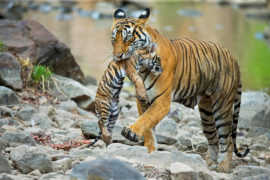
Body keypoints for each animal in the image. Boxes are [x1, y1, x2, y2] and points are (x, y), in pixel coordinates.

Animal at [111, 8, 249, 172]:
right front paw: (151, 152)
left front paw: (131, 132)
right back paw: (209, 163)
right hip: (207, 113)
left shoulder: (162, 102)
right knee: (214, 139)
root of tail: (234, 59)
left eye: (129, 38)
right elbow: (149, 128)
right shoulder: (143, 101)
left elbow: (147, 118)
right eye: (114, 40)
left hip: (221, 107)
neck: (143, 69)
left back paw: (223, 167)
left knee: (227, 140)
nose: (117, 57)